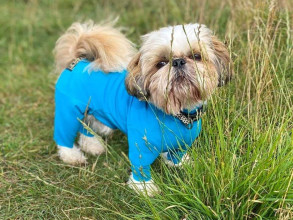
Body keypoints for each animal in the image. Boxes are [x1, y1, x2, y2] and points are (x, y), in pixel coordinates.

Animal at [52, 20, 230, 196]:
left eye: (196, 56)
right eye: (161, 63)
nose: (178, 61)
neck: (177, 114)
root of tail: (76, 61)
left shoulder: (182, 142)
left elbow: (175, 155)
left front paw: (179, 164)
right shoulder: (141, 147)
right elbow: (141, 167)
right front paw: (145, 187)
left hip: (95, 115)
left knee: (86, 127)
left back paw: (92, 145)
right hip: (67, 112)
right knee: (64, 135)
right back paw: (72, 155)